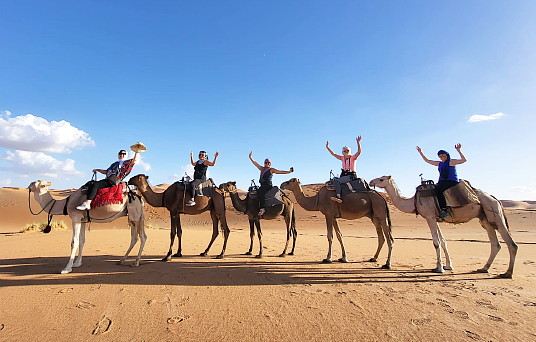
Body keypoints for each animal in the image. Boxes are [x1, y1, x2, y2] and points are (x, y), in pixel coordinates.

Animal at [370, 176, 516, 278]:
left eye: (381, 178)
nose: (371, 182)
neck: (413, 202)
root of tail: (495, 199)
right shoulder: (436, 219)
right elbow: (443, 241)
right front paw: (448, 266)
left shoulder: (430, 217)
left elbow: (436, 242)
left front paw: (438, 269)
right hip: (485, 219)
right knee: (495, 244)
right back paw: (483, 268)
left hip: (495, 214)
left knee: (511, 244)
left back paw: (507, 273)